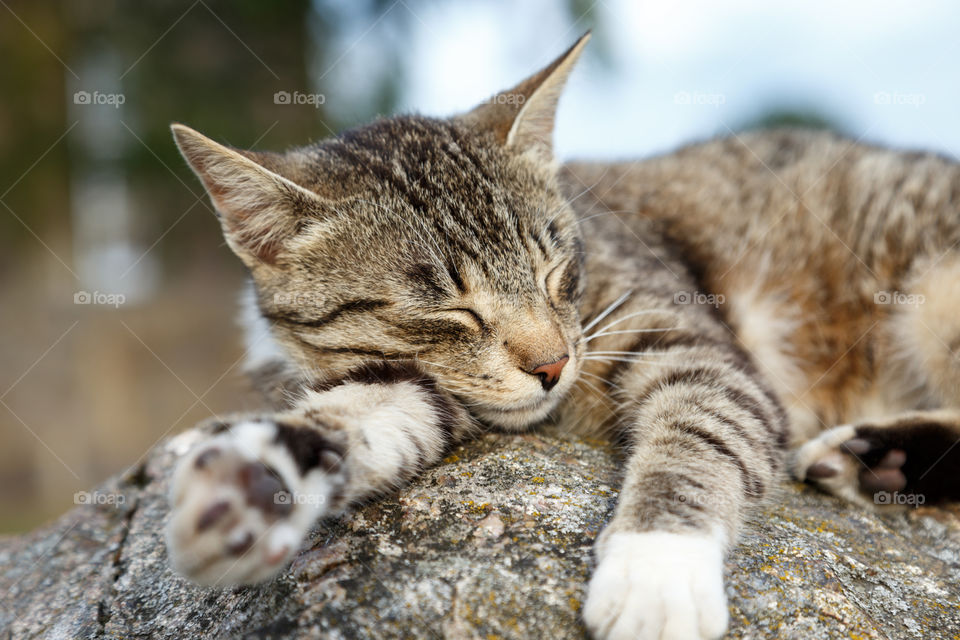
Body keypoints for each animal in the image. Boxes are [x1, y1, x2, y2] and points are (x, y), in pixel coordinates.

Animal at [165, 35, 960, 640]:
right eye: (448, 308)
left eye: (556, 270)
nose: (552, 365)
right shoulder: (416, 382)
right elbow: (359, 414)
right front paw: (251, 478)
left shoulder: (696, 346)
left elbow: (697, 435)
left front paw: (656, 567)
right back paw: (881, 460)